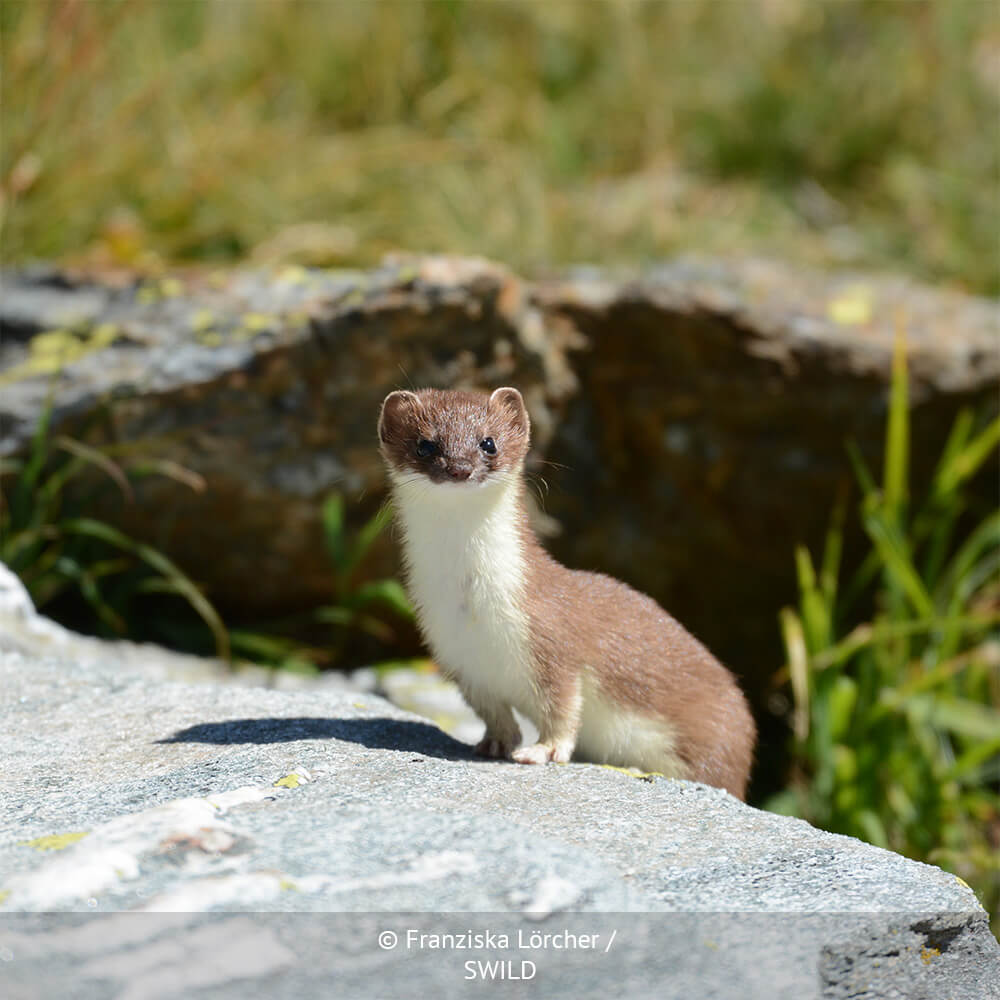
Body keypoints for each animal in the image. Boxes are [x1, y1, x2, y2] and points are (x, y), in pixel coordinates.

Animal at [378, 386, 752, 800]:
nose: (460, 468)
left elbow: (562, 707)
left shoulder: (553, 642)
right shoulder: (456, 655)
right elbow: (492, 710)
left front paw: (543, 750)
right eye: (425, 445)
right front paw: (495, 743)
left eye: (488, 443)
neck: (471, 605)